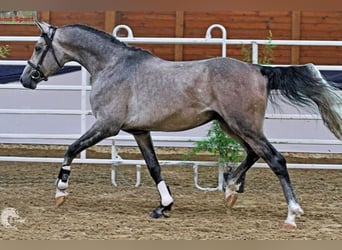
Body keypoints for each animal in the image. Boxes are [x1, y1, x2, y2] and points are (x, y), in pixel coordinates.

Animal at [20, 21, 342, 229]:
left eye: (37, 47)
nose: (26, 79)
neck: (112, 66)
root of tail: (258, 70)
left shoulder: (107, 125)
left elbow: (71, 149)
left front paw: (60, 192)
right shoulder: (140, 131)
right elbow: (154, 167)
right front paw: (163, 206)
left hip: (243, 125)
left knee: (275, 159)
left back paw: (291, 214)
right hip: (232, 125)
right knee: (254, 154)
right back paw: (229, 191)